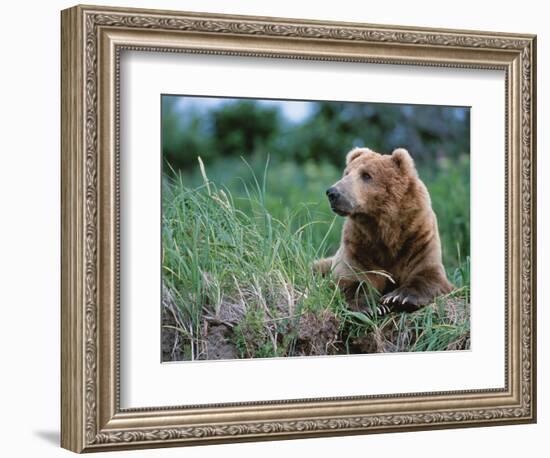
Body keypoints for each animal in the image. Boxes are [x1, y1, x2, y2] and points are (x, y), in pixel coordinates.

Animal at [316, 147, 454, 312]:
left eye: (366, 175)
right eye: (346, 172)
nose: (333, 192)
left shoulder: (418, 235)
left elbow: (428, 273)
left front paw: (398, 297)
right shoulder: (358, 243)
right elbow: (351, 278)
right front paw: (372, 307)